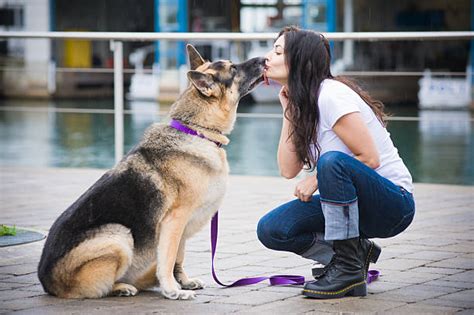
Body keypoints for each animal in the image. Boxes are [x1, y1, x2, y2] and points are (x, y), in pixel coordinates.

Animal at [38, 45, 266, 302]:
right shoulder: (174, 221)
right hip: (118, 235)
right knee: (95, 288)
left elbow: (178, 257)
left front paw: (182, 281)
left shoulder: (180, 229)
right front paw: (172, 289)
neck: (196, 131)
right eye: (233, 68)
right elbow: (167, 258)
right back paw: (121, 287)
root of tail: (46, 281)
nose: (264, 59)